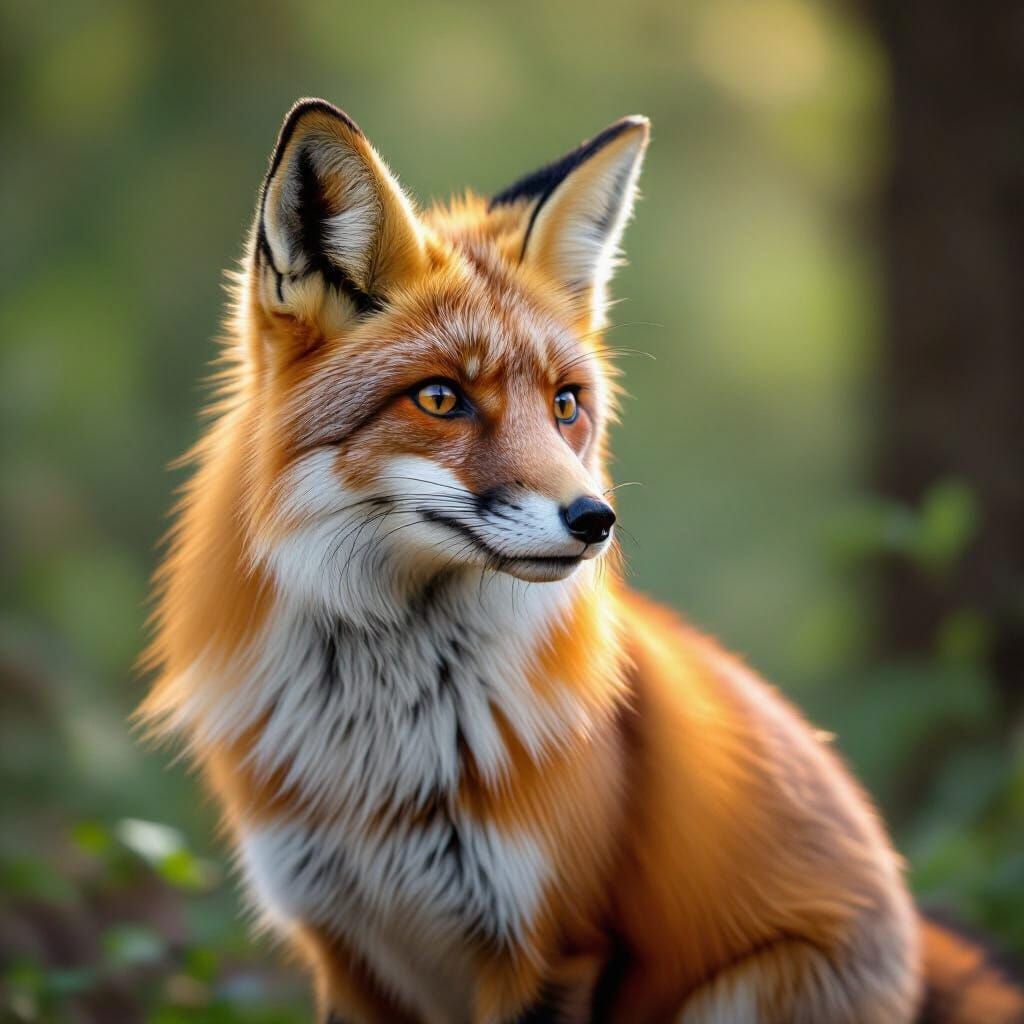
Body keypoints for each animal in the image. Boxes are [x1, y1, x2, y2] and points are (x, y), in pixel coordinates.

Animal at [138, 98, 1024, 1024]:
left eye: (566, 405)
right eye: (441, 398)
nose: (596, 520)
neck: (381, 752)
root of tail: (911, 928)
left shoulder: (554, 947)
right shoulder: (342, 949)